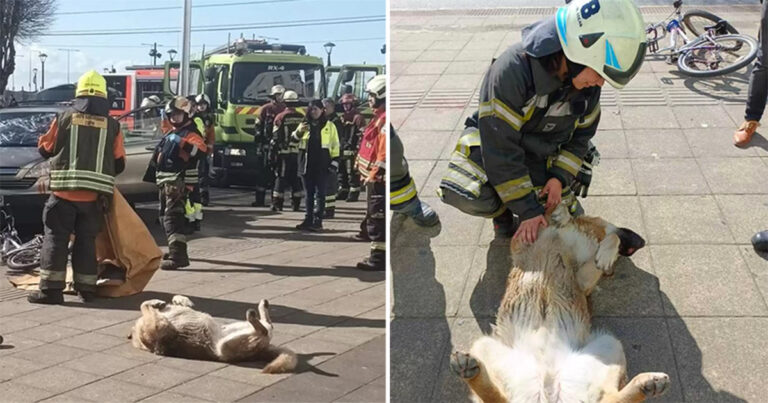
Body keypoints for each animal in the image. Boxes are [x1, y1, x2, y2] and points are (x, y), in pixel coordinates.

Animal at [129, 296, 296, 374]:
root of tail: (263, 351)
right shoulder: (158, 325)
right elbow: (143, 305)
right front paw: (156, 304)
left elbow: (148, 304)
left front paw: (177, 300)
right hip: (226, 345)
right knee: (264, 329)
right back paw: (255, 313)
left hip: (235, 328)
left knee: (268, 325)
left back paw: (261, 307)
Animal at [452, 205, 668, 403]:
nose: (642, 242)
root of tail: (547, 391)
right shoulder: (521, 241)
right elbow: (560, 213)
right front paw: (561, 213)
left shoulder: (581, 279)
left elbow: (611, 239)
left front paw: (604, 254)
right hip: (484, 345)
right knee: (497, 397)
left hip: (610, 344)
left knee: (610, 398)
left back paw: (648, 384)